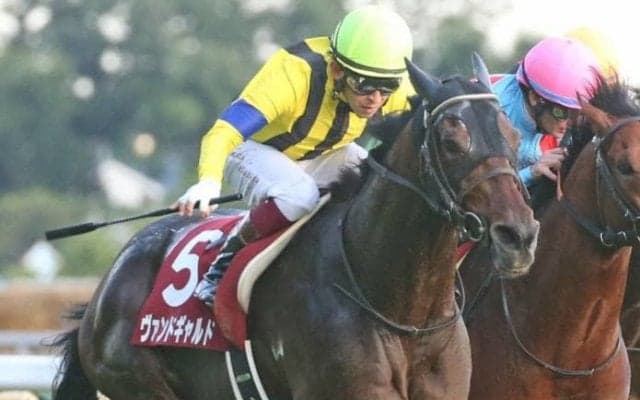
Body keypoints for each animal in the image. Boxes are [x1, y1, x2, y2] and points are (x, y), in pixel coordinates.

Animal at [51, 56, 539, 400]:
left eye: (514, 136)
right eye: (451, 140)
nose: (518, 235)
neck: (403, 313)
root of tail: (103, 292)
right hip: (139, 383)